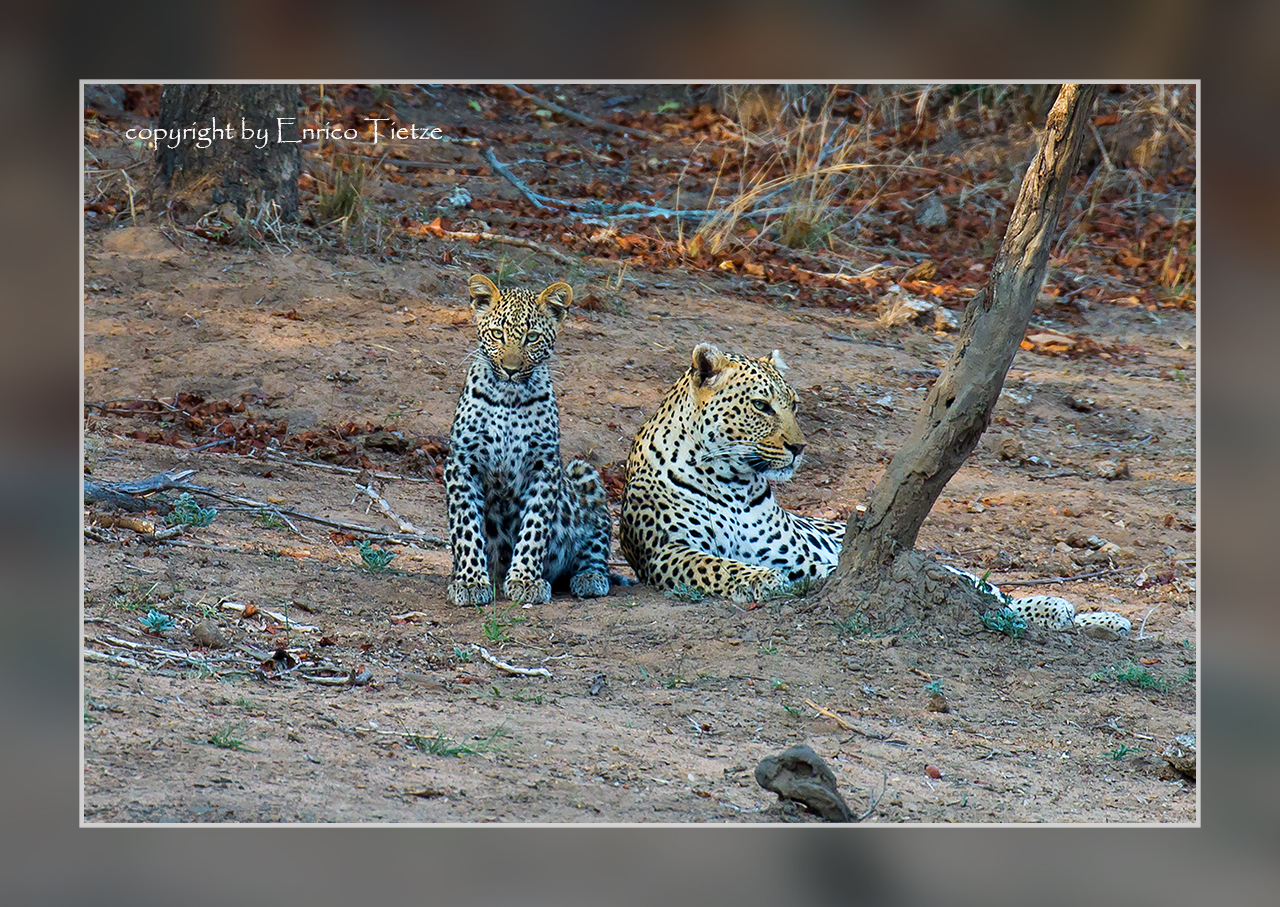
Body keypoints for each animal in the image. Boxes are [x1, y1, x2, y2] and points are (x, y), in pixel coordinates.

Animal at [445, 272, 614, 603]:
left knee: (597, 546)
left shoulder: (544, 465)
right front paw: (470, 582)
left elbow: (535, 526)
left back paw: (590, 578)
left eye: (532, 337)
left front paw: (526, 579)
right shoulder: (462, 463)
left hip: (583, 474)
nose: (511, 369)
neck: (508, 397)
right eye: (497, 334)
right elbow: (467, 525)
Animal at [619, 340, 1131, 637]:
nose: (799, 447)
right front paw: (760, 579)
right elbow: (713, 564)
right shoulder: (665, 551)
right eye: (761, 406)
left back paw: (1084, 613)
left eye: (794, 404)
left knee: (989, 591)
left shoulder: (809, 556)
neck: (734, 481)